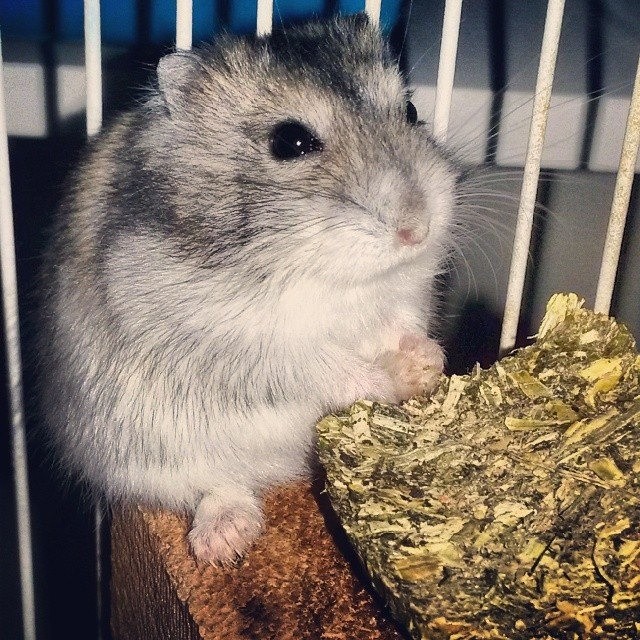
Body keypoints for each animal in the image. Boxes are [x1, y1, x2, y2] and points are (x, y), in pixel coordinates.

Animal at [40, 14, 458, 565]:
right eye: (290, 142)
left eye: (410, 110)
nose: (417, 229)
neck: (331, 275)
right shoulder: (241, 341)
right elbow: (323, 366)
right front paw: (384, 381)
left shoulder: (406, 292)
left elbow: (402, 325)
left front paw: (426, 362)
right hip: (143, 459)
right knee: (218, 487)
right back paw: (222, 544)